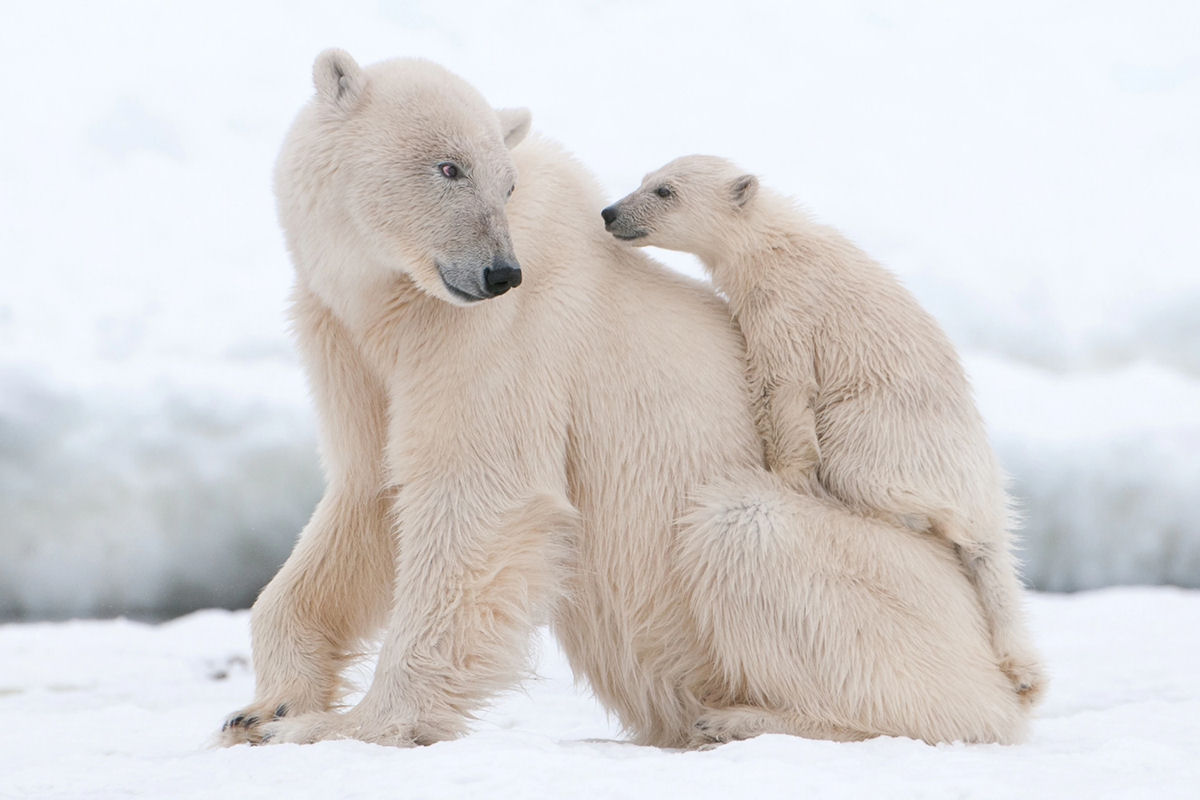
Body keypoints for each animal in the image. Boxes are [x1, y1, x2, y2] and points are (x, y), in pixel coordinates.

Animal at [220, 50, 1027, 753]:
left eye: (505, 184)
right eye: (449, 167)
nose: (498, 272)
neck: (393, 298)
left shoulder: (499, 338)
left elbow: (481, 497)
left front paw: (344, 725)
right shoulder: (350, 340)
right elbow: (368, 495)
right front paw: (263, 708)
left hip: (886, 580)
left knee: (749, 530)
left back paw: (743, 718)